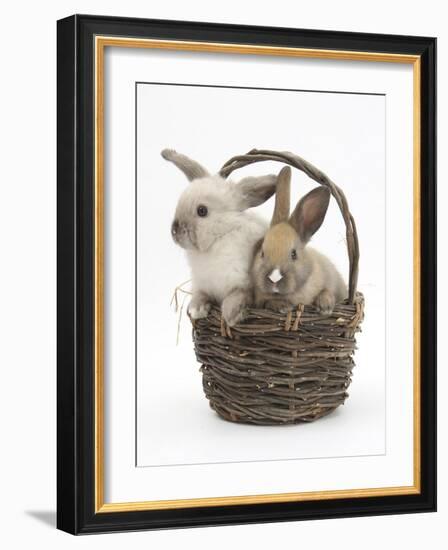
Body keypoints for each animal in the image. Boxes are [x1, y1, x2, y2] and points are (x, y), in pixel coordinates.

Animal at [163, 149, 278, 326]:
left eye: (202, 211)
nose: (174, 231)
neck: (219, 238)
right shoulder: (203, 284)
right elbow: (200, 295)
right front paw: (196, 310)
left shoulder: (243, 284)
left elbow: (238, 295)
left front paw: (231, 315)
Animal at [252, 166, 346, 316]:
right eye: (262, 253)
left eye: (294, 254)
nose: (274, 277)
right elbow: (268, 303)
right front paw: (282, 306)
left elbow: (326, 290)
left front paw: (325, 306)